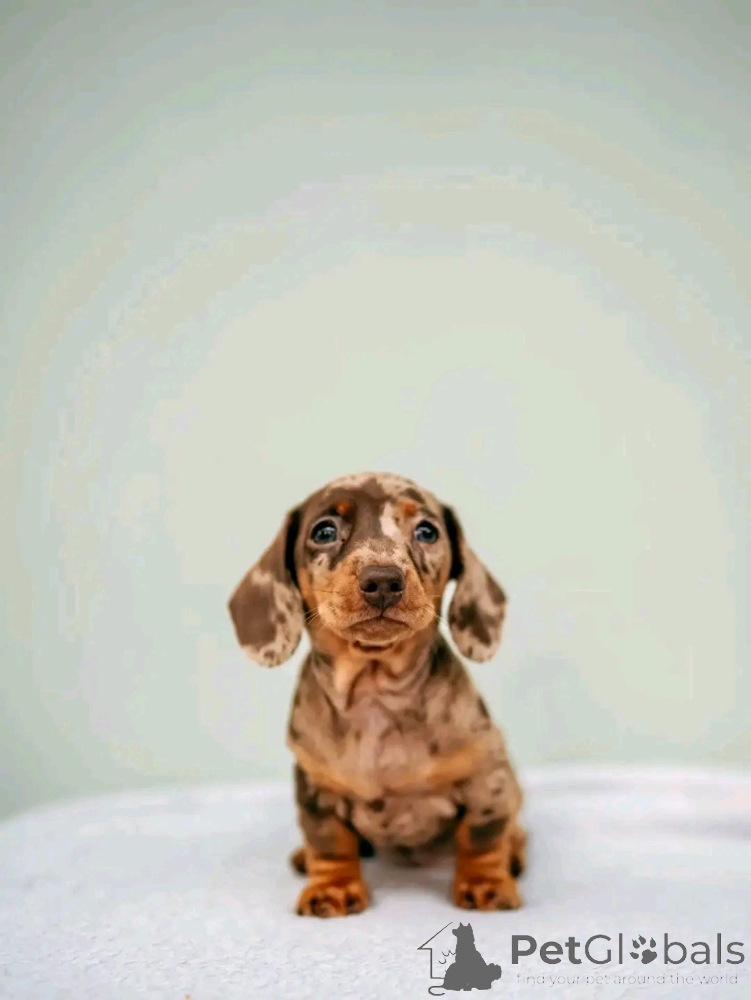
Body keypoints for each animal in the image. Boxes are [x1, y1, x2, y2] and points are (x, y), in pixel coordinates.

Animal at [228, 472, 525, 917]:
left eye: (427, 531)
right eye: (324, 531)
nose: (383, 580)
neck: (375, 691)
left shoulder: (486, 777)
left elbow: (482, 835)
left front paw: (485, 881)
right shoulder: (315, 787)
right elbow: (329, 841)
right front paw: (332, 887)